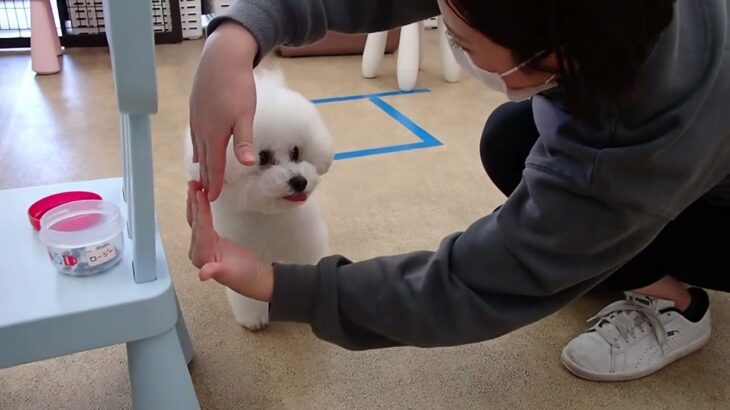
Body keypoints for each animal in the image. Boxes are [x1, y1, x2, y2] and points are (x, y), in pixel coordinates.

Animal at [188, 69, 336, 328]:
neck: (270, 217)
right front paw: (255, 318)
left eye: (295, 151)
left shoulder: (305, 244)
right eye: (263, 157)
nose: (299, 181)